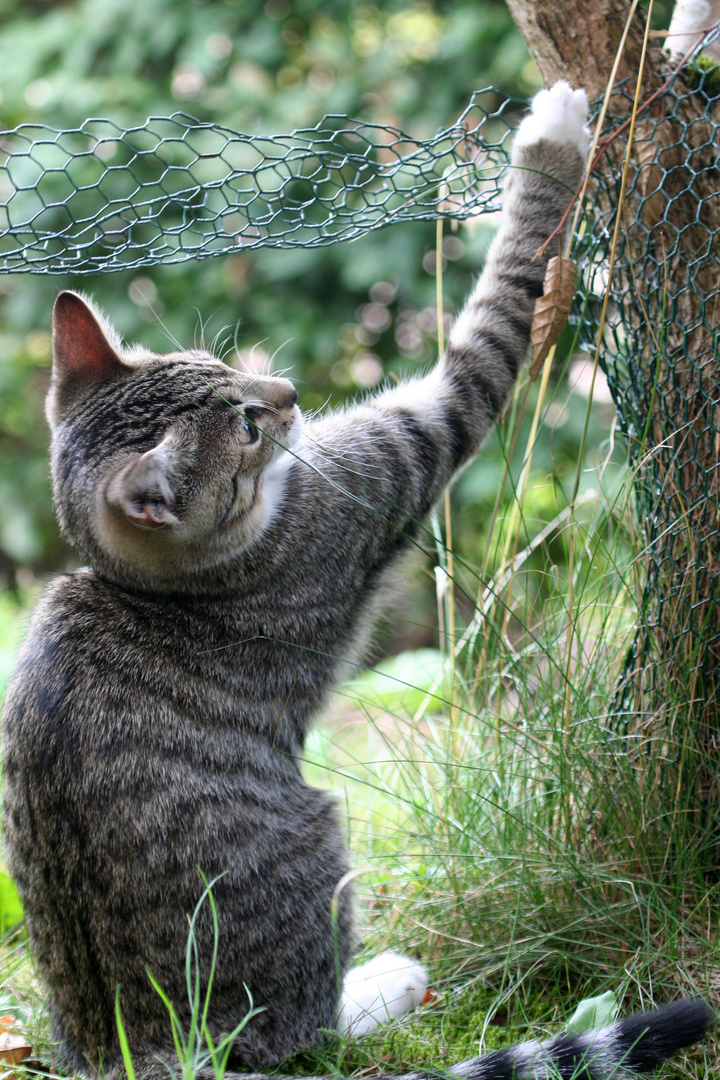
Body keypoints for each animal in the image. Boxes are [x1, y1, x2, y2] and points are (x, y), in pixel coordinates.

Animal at [1, 84, 716, 1080]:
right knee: (322, 1030)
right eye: (247, 428)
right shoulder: (406, 449)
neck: (156, 582)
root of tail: (132, 1056)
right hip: (320, 847)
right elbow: (499, 304)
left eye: (229, 372)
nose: (293, 392)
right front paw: (550, 144)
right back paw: (383, 988)